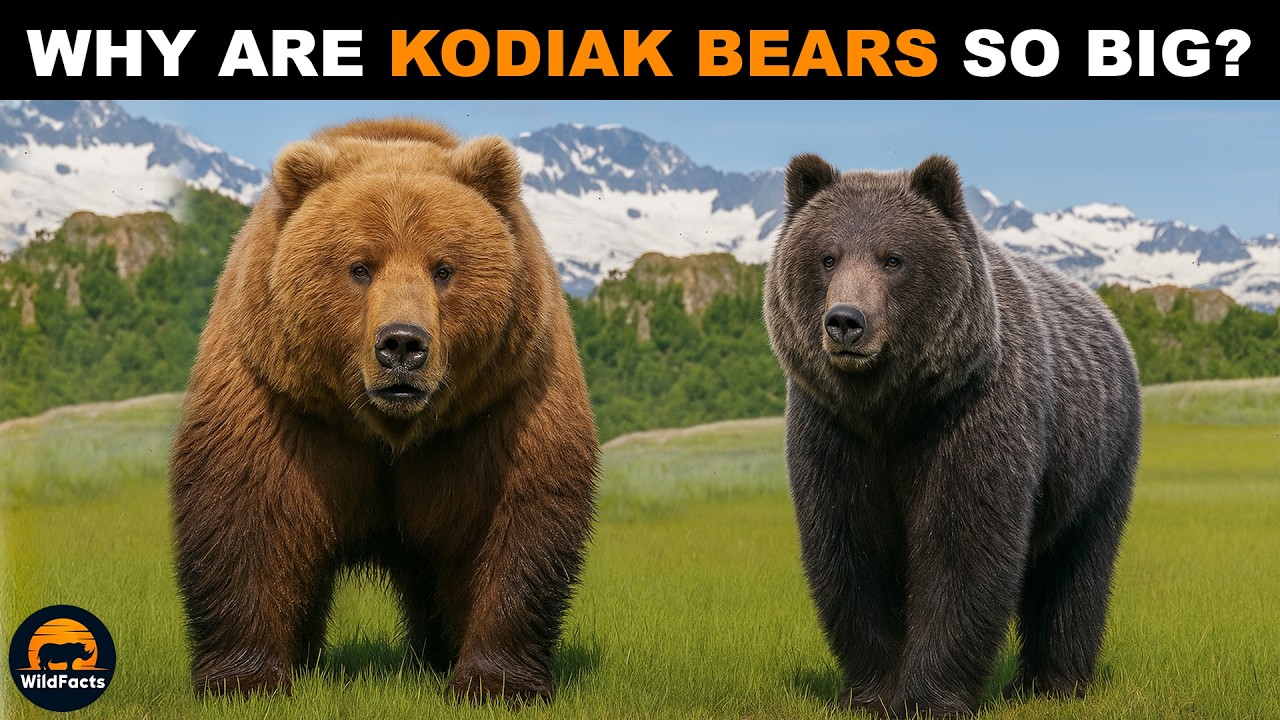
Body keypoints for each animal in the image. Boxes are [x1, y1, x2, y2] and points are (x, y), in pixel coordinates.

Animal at [168, 118, 599, 703]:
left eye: (443, 268)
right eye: (359, 267)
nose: (401, 345)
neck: (387, 427)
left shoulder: (499, 406)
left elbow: (510, 521)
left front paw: (495, 683)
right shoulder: (278, 400)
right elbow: (248, 512)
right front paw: (245, 680)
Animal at [763, 153, 1142, 717]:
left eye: (892, 258)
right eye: (827, 257)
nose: (846, 321)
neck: (893, 408)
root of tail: (1109, 320)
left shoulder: (970, 419)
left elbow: (961, 550)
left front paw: (930, 697)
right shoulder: (834, 432)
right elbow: (850, 550)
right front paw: (871, 692)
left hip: (1096, 460)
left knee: (1076, 567)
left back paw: (1054, 683)